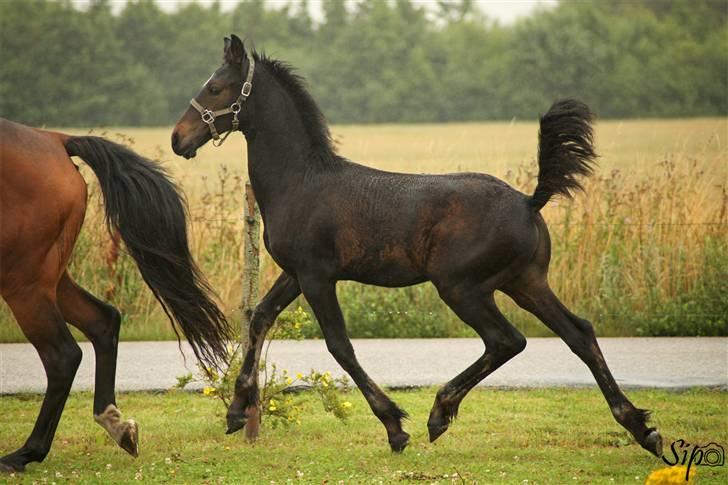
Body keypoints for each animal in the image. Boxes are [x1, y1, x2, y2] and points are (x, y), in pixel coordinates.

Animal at [0, 119, 232, 470]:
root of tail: (57, 140)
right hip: (49, 276)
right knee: (103, 320)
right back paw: (116, 425)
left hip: (24, 279)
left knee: (63, 354)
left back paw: (25, 453)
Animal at [173, 35, 664, 458]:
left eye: (215, 87)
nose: (178, 139)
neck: (300, 181)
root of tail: (530, 200)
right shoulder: (295, 273)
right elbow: (259, 318)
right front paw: (237, 412)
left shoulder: (317, 276)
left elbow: (339, 345)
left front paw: (394, 426)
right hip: (525, 282)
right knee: (578, 332)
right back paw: (642, 428)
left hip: (463, 287)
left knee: (507, 339)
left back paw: (439, 413)